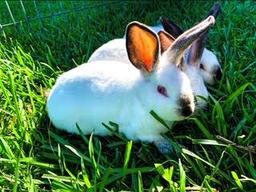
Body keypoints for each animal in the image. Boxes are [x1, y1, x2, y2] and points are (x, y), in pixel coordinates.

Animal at [47, 16, 215, 154]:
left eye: (187, 82)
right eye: (161, 89)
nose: (187, 110)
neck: (141, 100)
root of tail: (53, 93)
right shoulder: (140, 132)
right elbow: (154, 138)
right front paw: (168, 147)